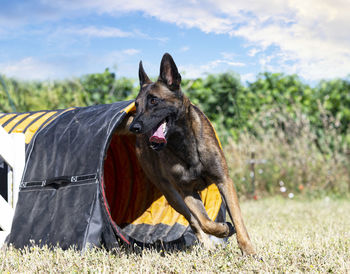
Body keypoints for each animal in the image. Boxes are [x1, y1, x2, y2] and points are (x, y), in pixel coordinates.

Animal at [127, 53, 256, 255]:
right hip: (173, 196)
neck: (185, 145)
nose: (134, 127)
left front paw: (249, 250)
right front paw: (225, 229)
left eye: (154, 100)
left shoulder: (224, 181)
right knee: (194, 221)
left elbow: (237, 219)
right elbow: (205, 222)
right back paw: (209, 245)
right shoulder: (187, 192)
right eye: (136, 104)